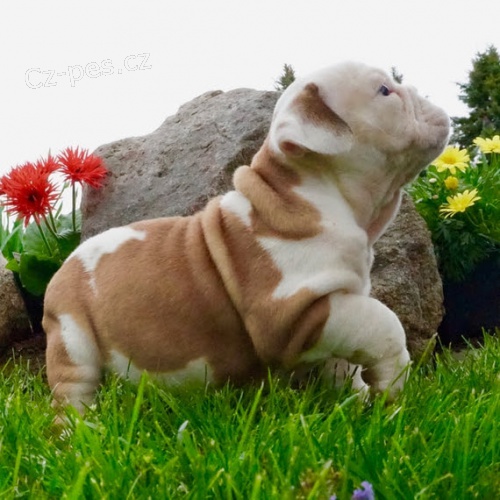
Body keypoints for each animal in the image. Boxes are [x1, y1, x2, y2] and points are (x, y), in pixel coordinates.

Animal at [43, 61, 450, 414]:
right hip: (72, 334)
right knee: (73, 390)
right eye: (384, 91)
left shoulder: (338, 303)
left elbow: (343, 362)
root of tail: (66, 262)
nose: (422, 95)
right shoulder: (295, 314)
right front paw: (391, 386)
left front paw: (355, 403)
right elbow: (384, 324)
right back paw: (80, 431)